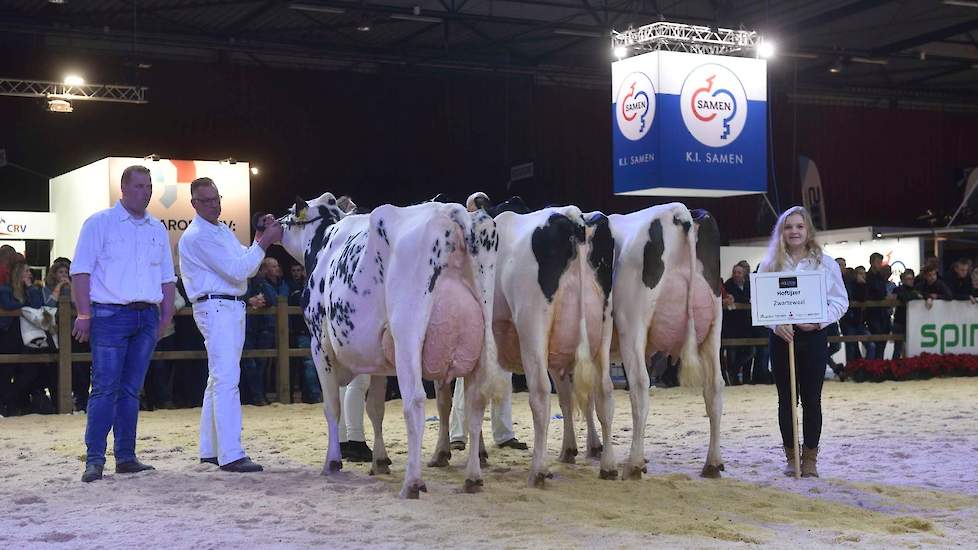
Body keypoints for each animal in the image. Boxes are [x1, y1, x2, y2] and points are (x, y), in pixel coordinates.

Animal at [276, 194, 500, 500]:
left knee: (415, 402)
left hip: (408, 335)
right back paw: (473, 477)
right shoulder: (379, 359)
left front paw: (332, 462)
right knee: (476, 401)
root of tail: (451, 212)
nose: (271, 221)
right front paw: (380, 461)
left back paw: (413, 482)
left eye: (289, 213)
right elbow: (374, 408)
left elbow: (332, 406)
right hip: (482, 338)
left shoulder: (319, 344)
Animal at [488, 203, 616, 488]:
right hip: (602, 330)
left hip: (532, 328)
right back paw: (608, 466)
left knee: (540, 395)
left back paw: (538, 470)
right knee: (603, 391)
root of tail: (572, 216)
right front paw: (570, 449)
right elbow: (567, 399)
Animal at [608, 205, 724, 480]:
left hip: (632, 325)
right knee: (714, 387)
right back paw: (712, 463)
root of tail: (679, 211)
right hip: (713, 327)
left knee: (639, 385)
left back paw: (634, 464)